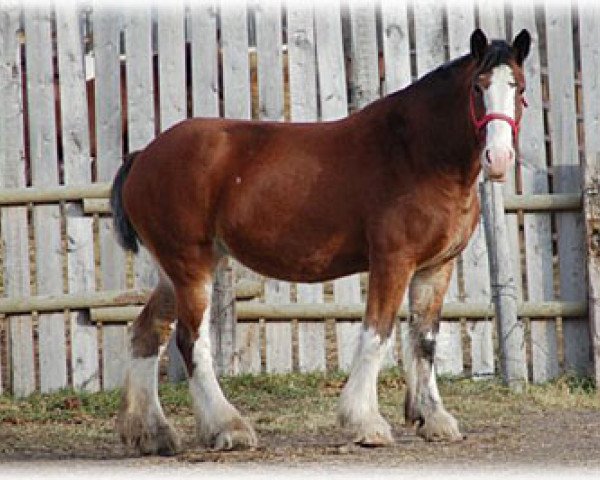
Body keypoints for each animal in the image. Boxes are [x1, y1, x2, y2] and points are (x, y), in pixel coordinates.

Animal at [109, 28, 528, 456]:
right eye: (478, 87)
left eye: (520, 88)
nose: (498, 158)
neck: (416, 153)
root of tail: (144, 156)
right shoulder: (393, 261)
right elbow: (377, 334)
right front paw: (365, 422)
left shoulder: (435, 267)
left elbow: (424, 340)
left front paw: (434, 419)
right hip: (191, 266)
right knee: (191, 341)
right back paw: (228, 427)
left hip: (176, 271)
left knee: (148, 333)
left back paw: (152, 433)